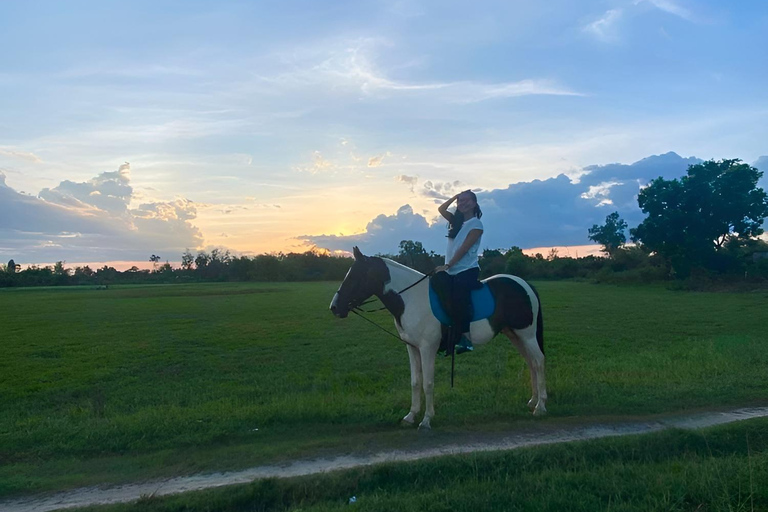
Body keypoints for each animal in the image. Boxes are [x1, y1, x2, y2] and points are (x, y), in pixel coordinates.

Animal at [330, 246, 544, 430]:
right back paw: (533, 401)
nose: (334, 307)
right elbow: (415, 382)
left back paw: (540, 407)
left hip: (527, 335)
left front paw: (426, 420)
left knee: (539, 361)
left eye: (356, 276)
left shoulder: (427, 348)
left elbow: (428, 383)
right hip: (515, 335)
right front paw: (410, 416)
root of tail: (524, 284)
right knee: (531, 363)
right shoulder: (412, 347)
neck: (411, 299)